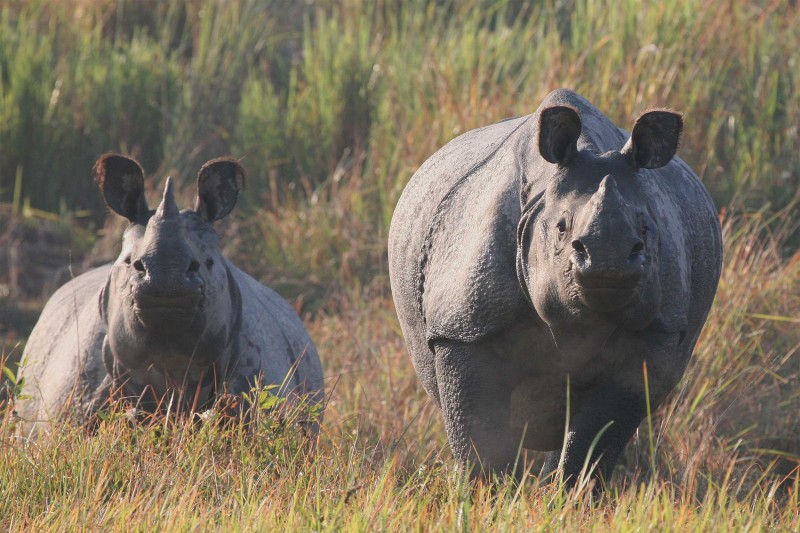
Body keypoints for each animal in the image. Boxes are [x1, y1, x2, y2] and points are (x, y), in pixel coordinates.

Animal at [390, 89, 724, 484]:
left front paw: (568, 495)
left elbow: (593, 441)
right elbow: (481, 444)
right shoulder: (464, 328)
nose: (607, 263)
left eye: (645, 230)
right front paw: (488, 494)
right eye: (561, 228)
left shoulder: (656, 335)